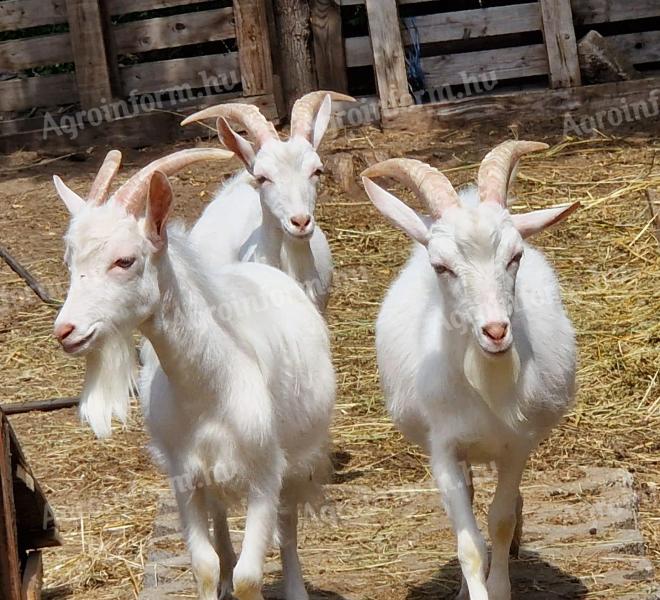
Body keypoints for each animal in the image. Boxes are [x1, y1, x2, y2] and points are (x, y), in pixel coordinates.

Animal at [52, 150, 336, 600]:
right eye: (70, 262)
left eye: (124, 260)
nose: (66, 331)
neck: (213, 386)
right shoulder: (183, 476)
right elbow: (203, 565)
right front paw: (217, 580)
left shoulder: (264, 474)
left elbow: (251, 575)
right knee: (220, 522)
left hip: (297, 454)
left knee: (288, 525)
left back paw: (294, 586)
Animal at [360, 142, 576, 600]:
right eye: (441, 266)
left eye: (515, 257)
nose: (495, 331)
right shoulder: (442, 447)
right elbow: (470, 543)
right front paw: (474, 587)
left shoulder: (517, 445)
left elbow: (500, 520)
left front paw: (501, 586)